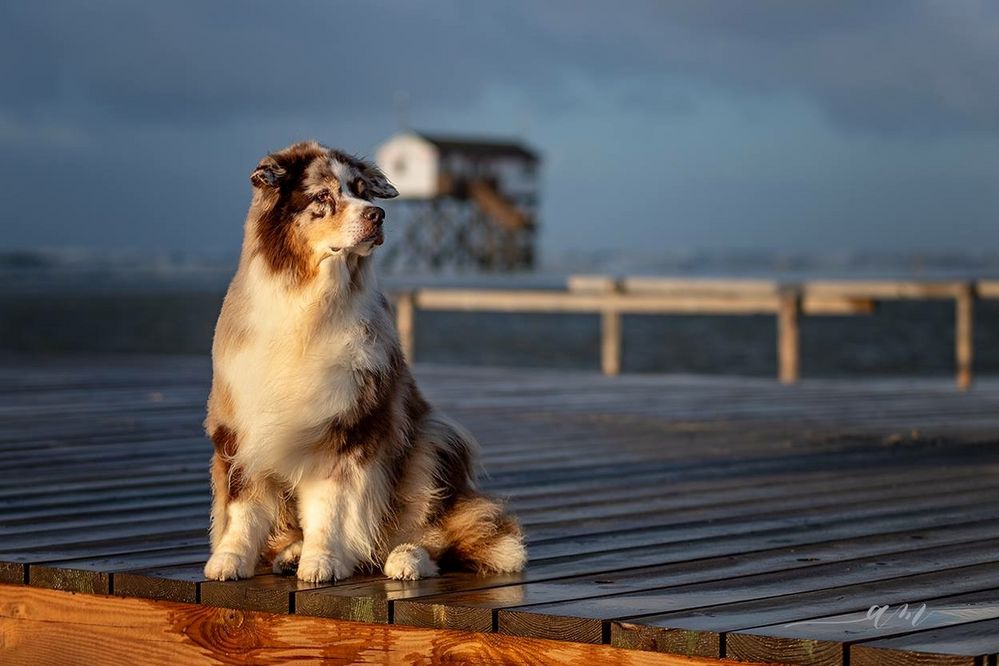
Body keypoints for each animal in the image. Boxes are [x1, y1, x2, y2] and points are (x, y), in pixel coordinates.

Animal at [205, 141, 532, 580]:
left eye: (363, 192)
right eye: (323, 196)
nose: (378, 214)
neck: (310, 301)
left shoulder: (349, 423)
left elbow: (330, 507)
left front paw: (323, 561)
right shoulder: (239, 424)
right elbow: (244, 506)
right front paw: (230, 558)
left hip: (432, 440)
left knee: (437, 534)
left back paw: (405, 558)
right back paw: (291, 552)